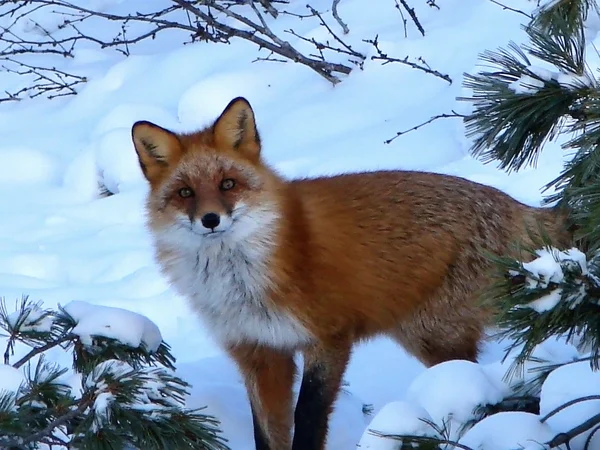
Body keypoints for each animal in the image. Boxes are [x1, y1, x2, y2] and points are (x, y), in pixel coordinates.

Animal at [130, 97, 572, 450]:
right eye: (185, 192)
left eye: (227, 184)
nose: (210, 219)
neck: (241, 284)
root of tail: (519, 207)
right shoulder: (258, 353)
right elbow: (267, 433)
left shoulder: (328, 339)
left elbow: (307, 420)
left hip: (436, 335)